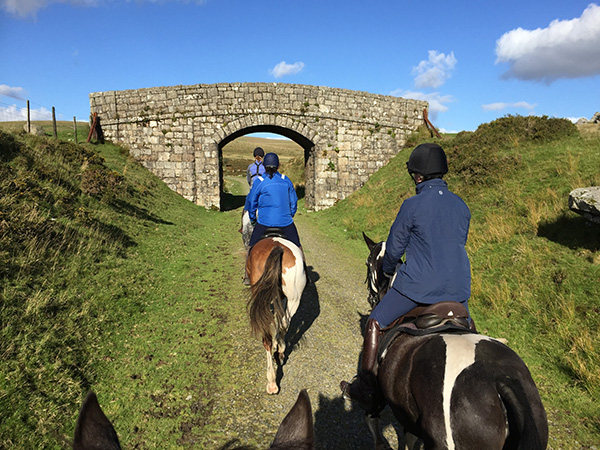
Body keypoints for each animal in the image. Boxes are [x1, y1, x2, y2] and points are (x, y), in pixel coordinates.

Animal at [246, 236, 308, 394]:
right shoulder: (281, 298)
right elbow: (279, 320)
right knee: (285, 323)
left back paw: (272, 381)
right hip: (294, 299)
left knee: (266, 337)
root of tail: (278, 247)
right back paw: (280, 352)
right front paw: (278, 345)